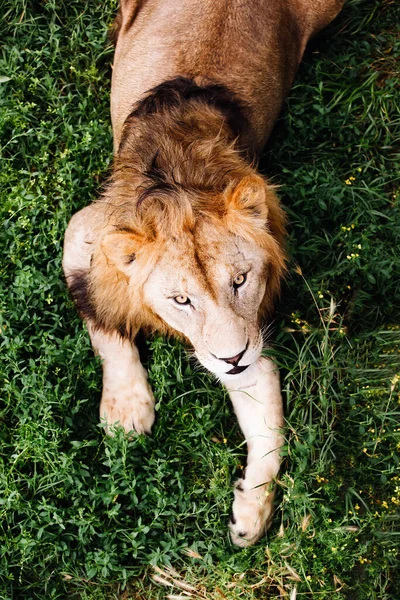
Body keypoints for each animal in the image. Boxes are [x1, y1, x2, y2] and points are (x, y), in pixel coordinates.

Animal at [62, 0, 344, 548]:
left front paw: (252, 513)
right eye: (181, 300)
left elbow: (270, 434)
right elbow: (104, 321)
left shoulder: (249, 343)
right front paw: (127, 409)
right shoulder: (83, 232)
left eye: (241, 281)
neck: (178, 187)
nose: (230, 359)